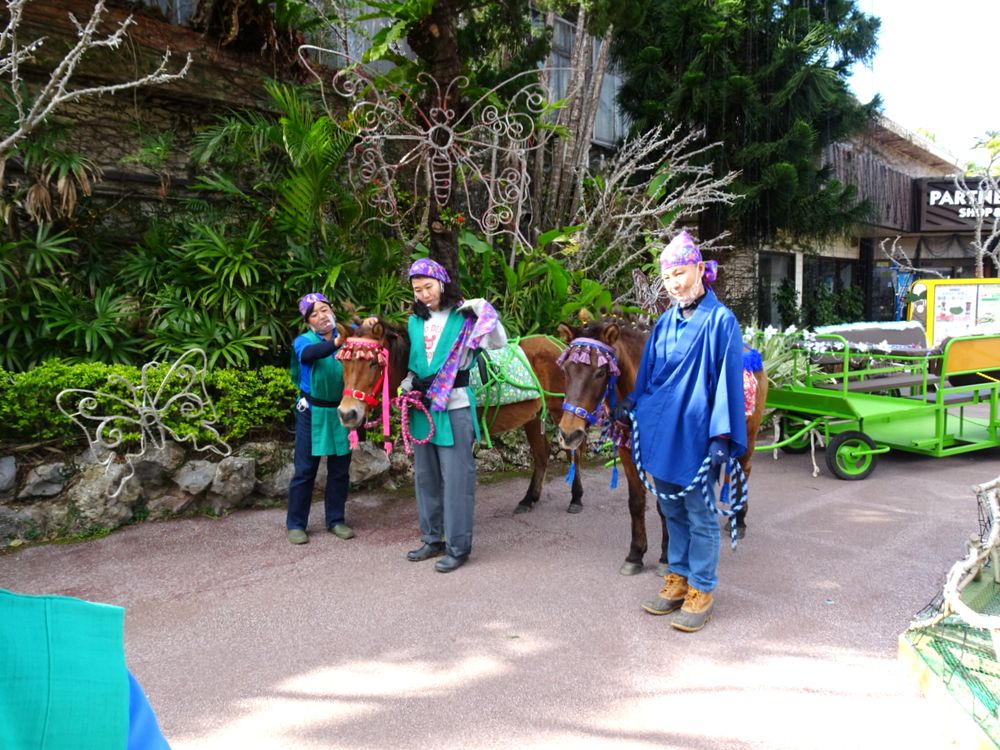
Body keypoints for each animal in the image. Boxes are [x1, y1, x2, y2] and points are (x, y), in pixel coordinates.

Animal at [336, 320, 584, 516]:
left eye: (374, 363)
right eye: (344, 363)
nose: (347, 413)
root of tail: (560, 345)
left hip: (563, 411)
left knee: (574, 450)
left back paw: (576, 497)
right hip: (533, 415)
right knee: (542, 454)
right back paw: (528, 499)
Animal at [556, 318, 764, 576]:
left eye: (600, 372)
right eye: (566, 370)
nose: (569, 432)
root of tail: (750, 353)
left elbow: (665, 504)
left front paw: (667, 557)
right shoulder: (628, 452)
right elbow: (636, 502)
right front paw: (635, 554)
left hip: (749, 436)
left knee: (745, 471)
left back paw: (740, 520)